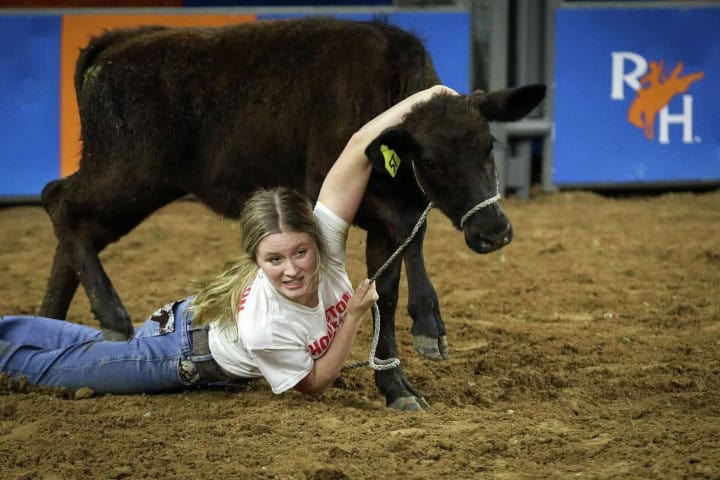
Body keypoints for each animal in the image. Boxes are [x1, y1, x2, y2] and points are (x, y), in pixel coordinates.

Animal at [40, 17, 544, 408]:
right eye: (432, 161)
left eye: (489, 145)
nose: (493, 232)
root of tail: (122, 39)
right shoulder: (331, 186)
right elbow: (409, 239)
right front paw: (429, 325)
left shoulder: (393, 213)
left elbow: (387, 286)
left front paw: (397, 384)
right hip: (128, 173)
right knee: (58, 199)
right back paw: (110, 316)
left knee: (72, 227)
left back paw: (50, 320)